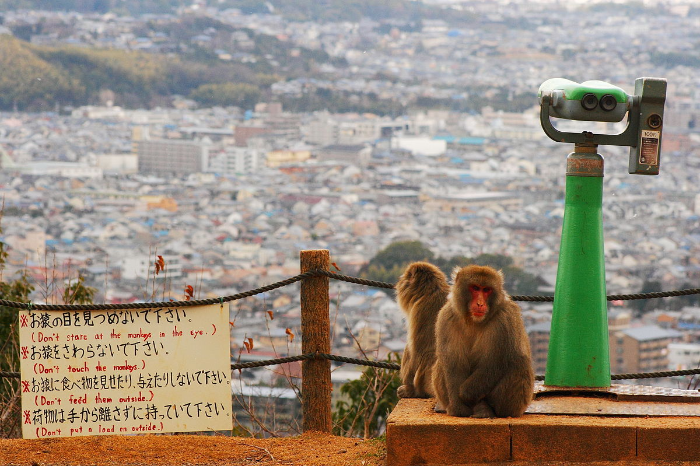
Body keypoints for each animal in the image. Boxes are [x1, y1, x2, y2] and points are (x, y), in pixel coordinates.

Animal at [394, 260, 448, 398]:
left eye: (405, 276)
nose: (400, 278)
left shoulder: (420, 310)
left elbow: (417, 351)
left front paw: (409, 389)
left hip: (426, 380)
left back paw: (413, 391)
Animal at [430, 266, 532, 418]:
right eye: (475, 288)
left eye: (486, 290)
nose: (480, 303)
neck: (474, 321)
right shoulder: (446, 316)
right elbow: (453, 363)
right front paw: (458, 407)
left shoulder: (505, 319)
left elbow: (494, 362)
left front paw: (466, 394)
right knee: (440, 363)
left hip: (514, 405)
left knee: (519, 361)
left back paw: (485, 408)